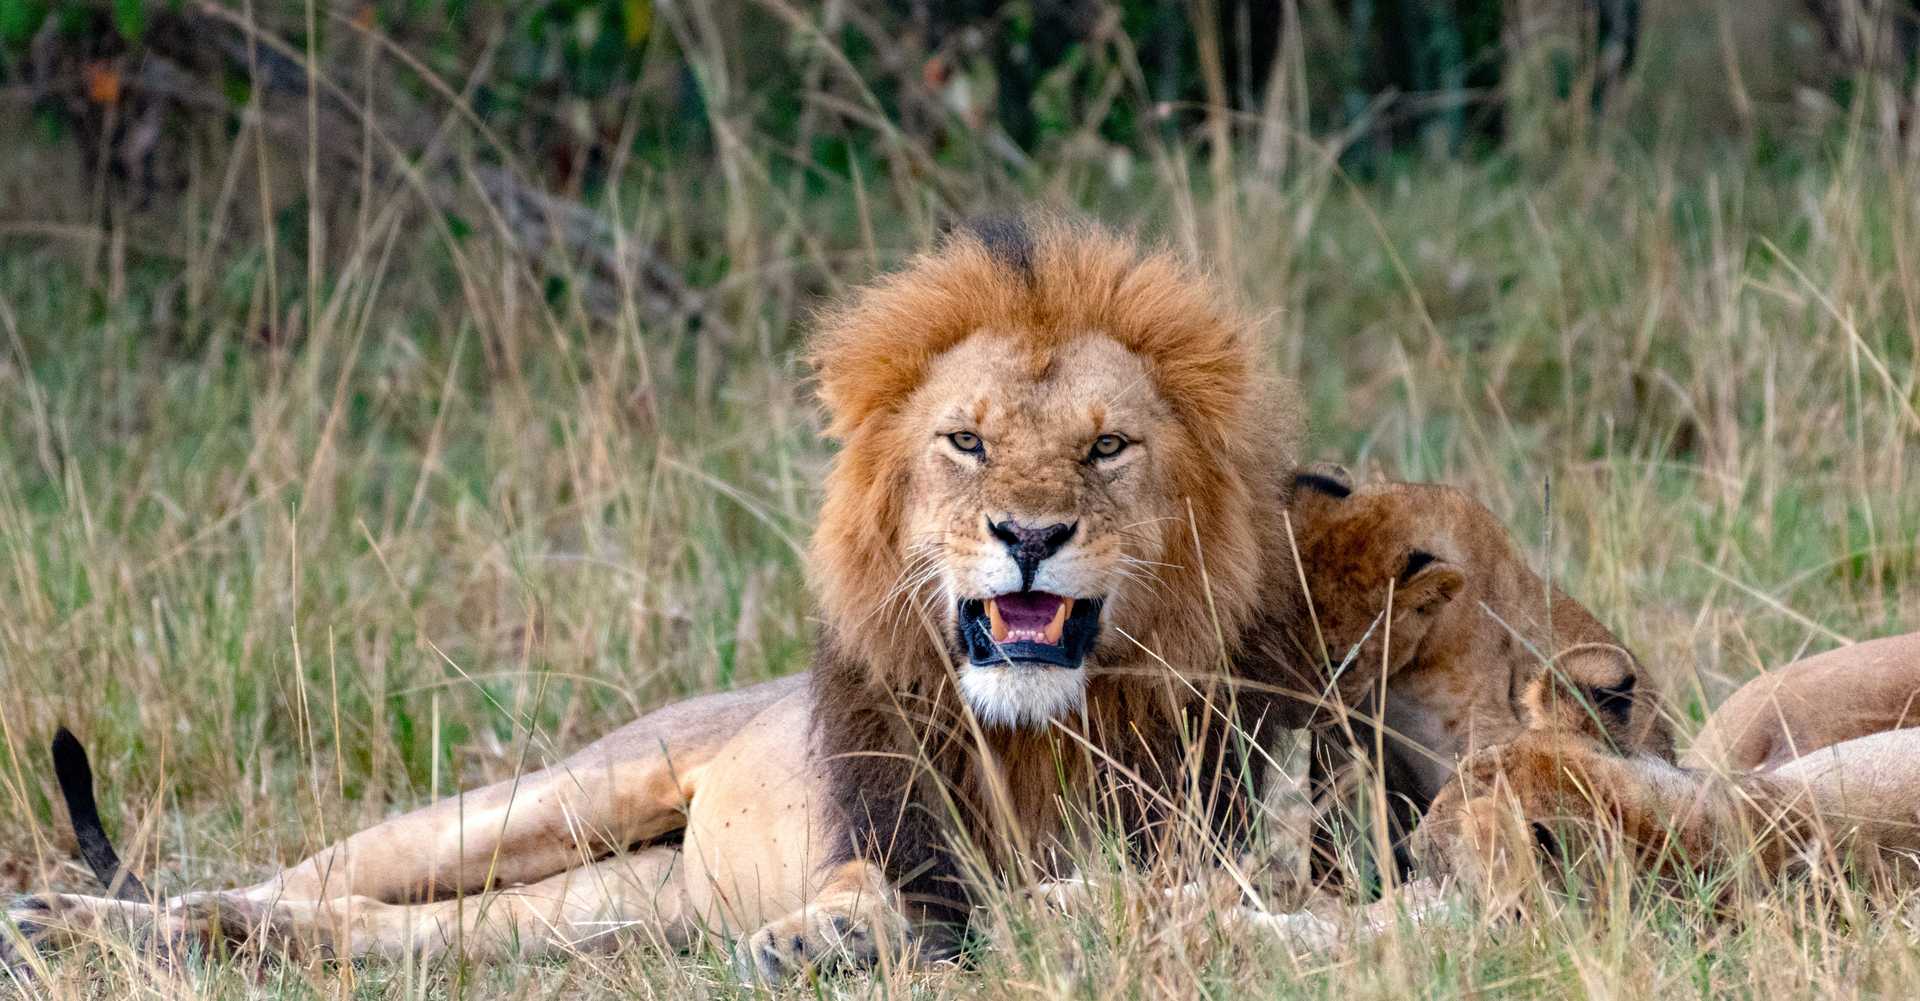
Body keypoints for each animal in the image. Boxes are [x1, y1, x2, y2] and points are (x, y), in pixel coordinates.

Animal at [0, 216, 1328, 976]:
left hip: (600, 909)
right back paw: (86, 918)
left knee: (386, 928)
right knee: (313, 874)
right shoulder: (883, 820)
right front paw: (828, 931)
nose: (1032, 535)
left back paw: (191, 936)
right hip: (549, 797)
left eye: (1107, 447)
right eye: (967, 441)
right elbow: (883, 882)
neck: (1036, 727)